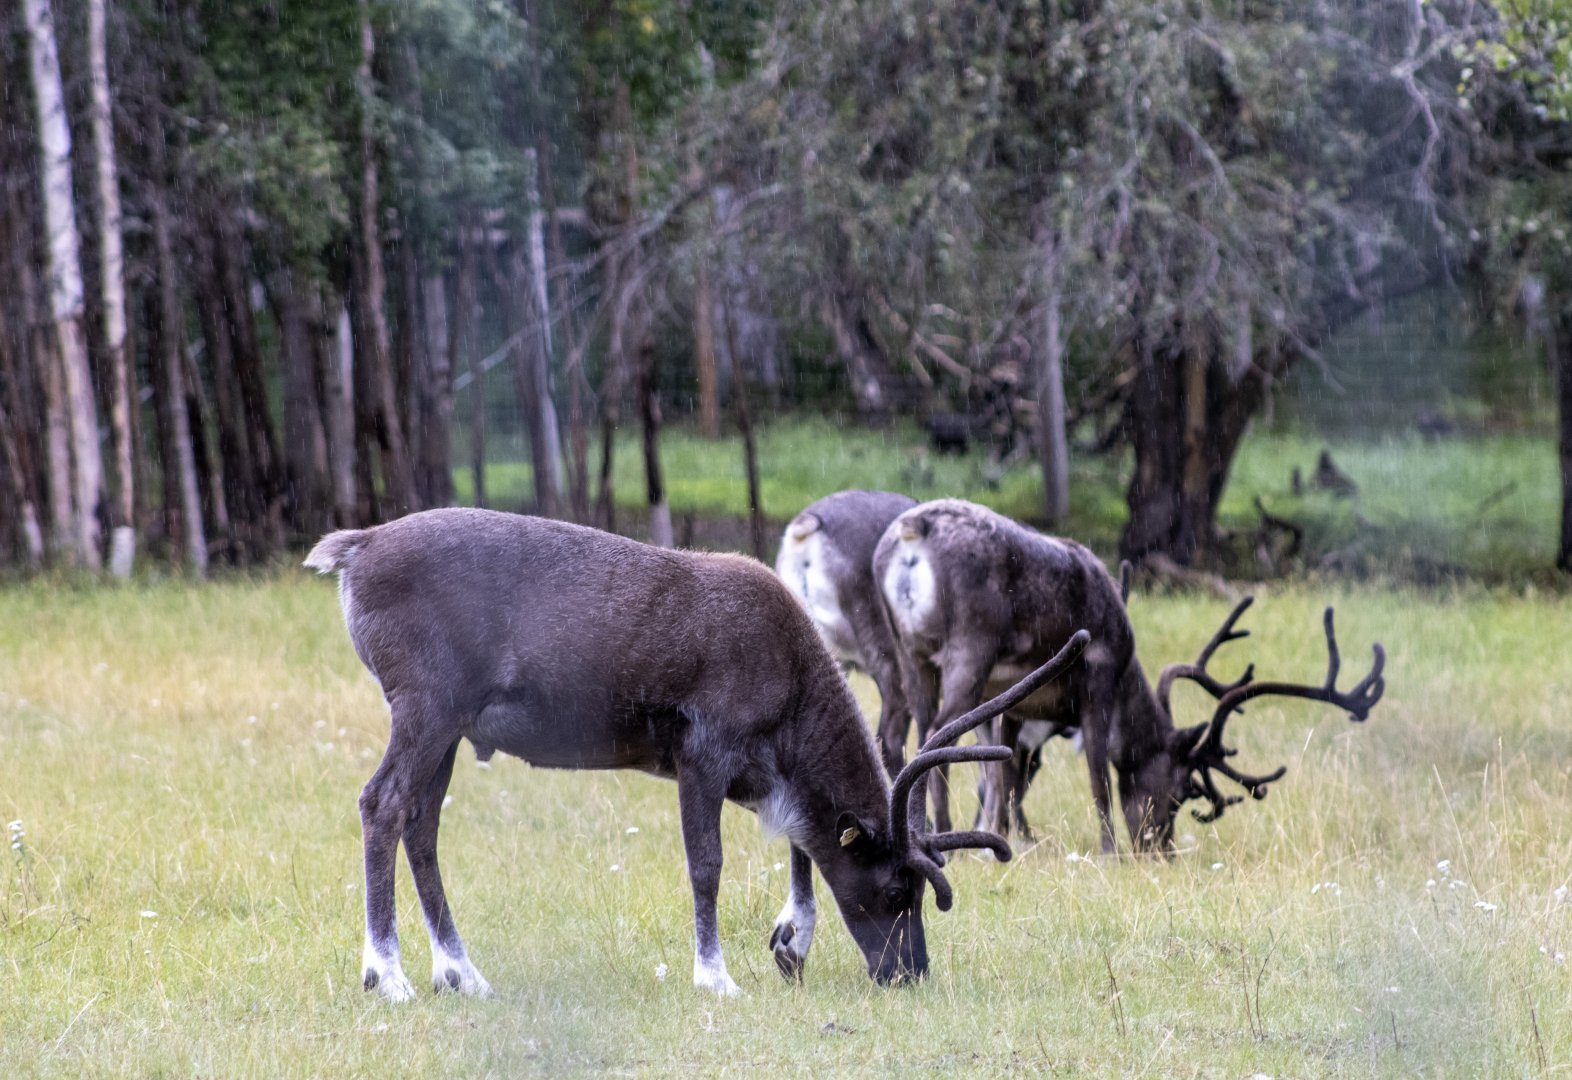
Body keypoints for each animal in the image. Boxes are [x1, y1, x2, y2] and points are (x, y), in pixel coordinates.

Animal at [304, 507, 1089, 999]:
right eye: (897, 888)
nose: (909, 973)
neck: (791, 676)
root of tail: (356, 547)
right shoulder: (702, 756)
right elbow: (707, 865)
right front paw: (716, 976)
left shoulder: (760, 773)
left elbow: (801, 841)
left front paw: (791, 944)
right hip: (426, 709)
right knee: (382, 804)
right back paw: (389, 976)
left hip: (449, 730)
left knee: (421, 826)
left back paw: (461, 974)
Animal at [872, 499, 1385, 853]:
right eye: (1182, 790)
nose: (1159, 847)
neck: (1126, 681)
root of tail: (912, 532)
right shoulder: (1096, 682)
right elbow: (1098, 772)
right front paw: (1108, 849)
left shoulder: (1016, 706)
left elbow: (1007, 775)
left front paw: (1007, 841)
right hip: (971, 649)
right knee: (938, 734)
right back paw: (940, 831)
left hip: (910, 653)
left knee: (922, 728)